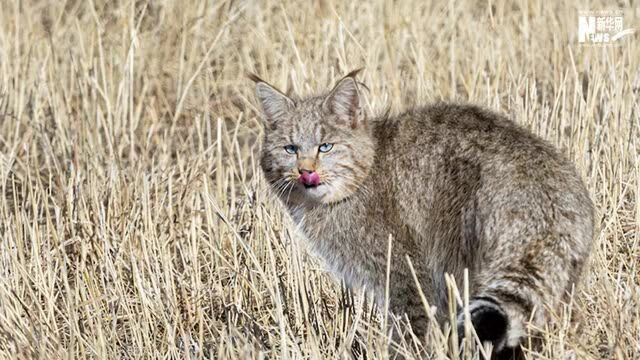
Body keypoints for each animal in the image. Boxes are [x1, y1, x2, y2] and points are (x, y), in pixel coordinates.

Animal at [251, 69, 596, 354]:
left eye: (326, 146)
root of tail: (545, 186)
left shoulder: (406, 274)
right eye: (290, 149)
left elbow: (411, 327)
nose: (305, 172)